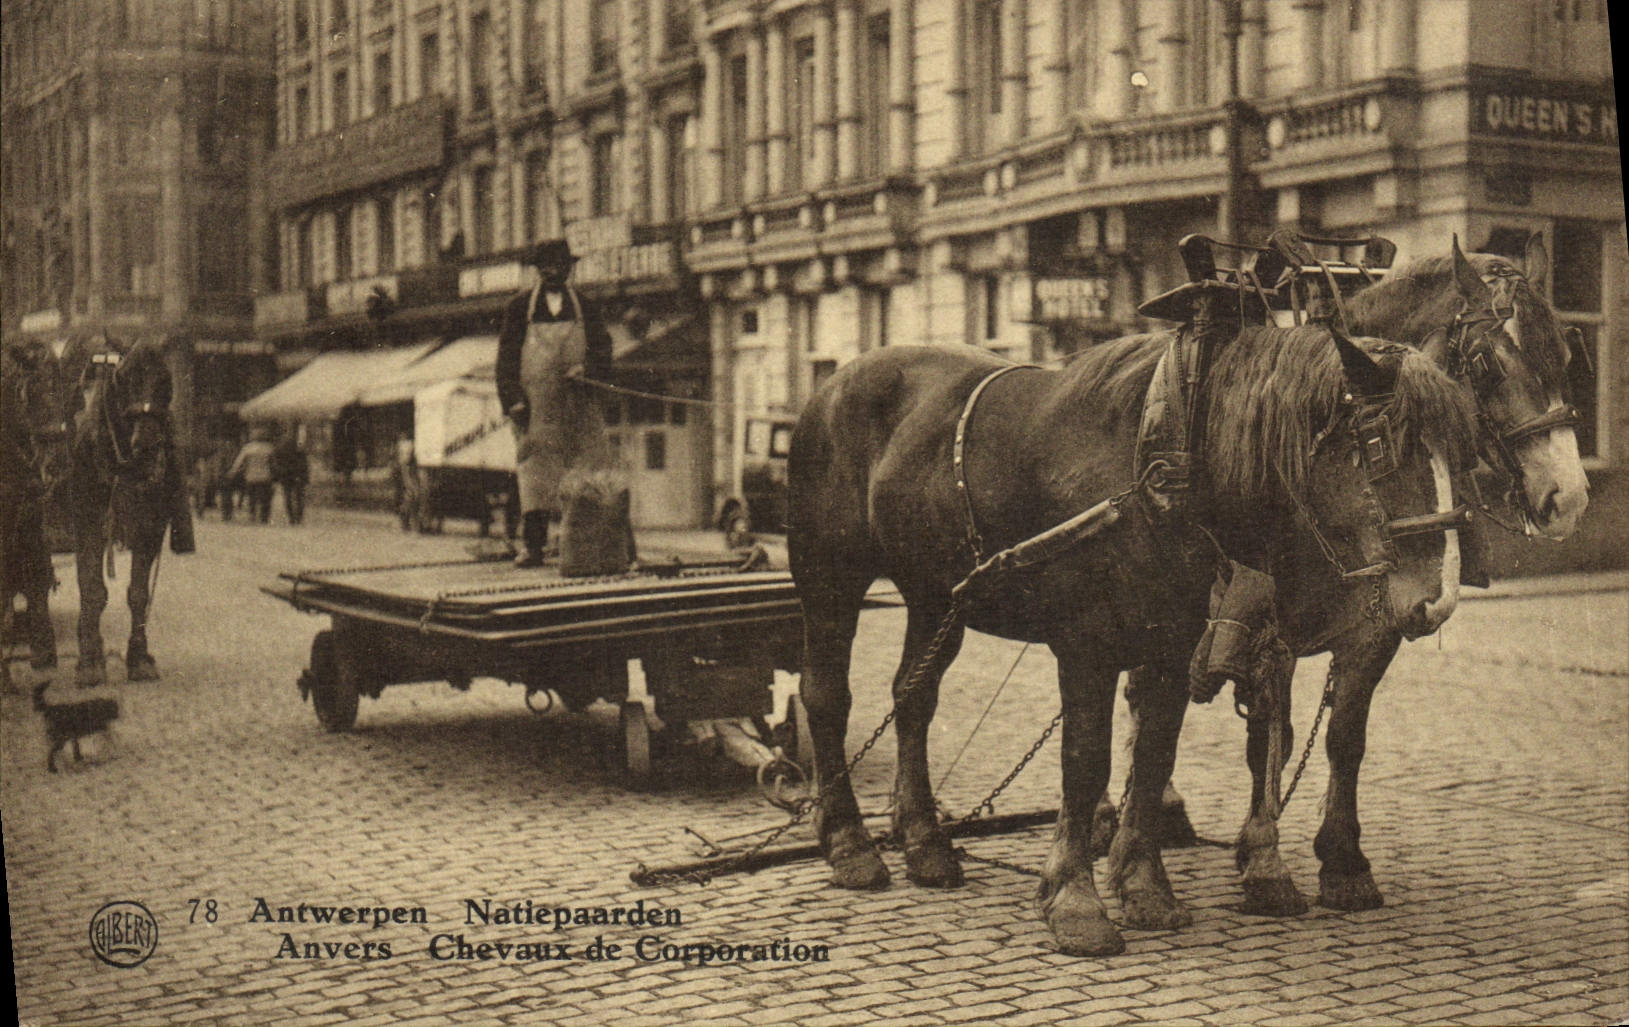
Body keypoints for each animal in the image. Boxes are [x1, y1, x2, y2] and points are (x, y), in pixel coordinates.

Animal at [68, 339, 184, 688]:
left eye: (166, 379)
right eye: (122, 379)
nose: (147, 443)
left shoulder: (151, 527)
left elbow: (138, 594)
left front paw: (139, 658)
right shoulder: (89, 522)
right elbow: (92, 590)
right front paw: (90, 662)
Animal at [787, 320, 1479, 956]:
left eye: (1463, 452)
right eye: (1379, 443)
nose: (1437, 599)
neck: (1165, 460)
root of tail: (831, 386)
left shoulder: (1172, 646)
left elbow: (1153, 757)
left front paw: (1147, 889)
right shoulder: (1085, 647)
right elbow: (1086, 760)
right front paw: (1075, 902)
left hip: (937, 596)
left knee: (914, 698)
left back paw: (926, 844)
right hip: (830, 579)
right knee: (826, 697)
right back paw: (850, 845)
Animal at [1123, 235, 1593, 916]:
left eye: (1566, 353)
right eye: (1485, 364)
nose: (1569, 497)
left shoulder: (1380, 628)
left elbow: (1344, 736)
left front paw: (1343, 860)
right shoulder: (1266, 631)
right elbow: (1269, 737)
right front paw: (1263, 862)